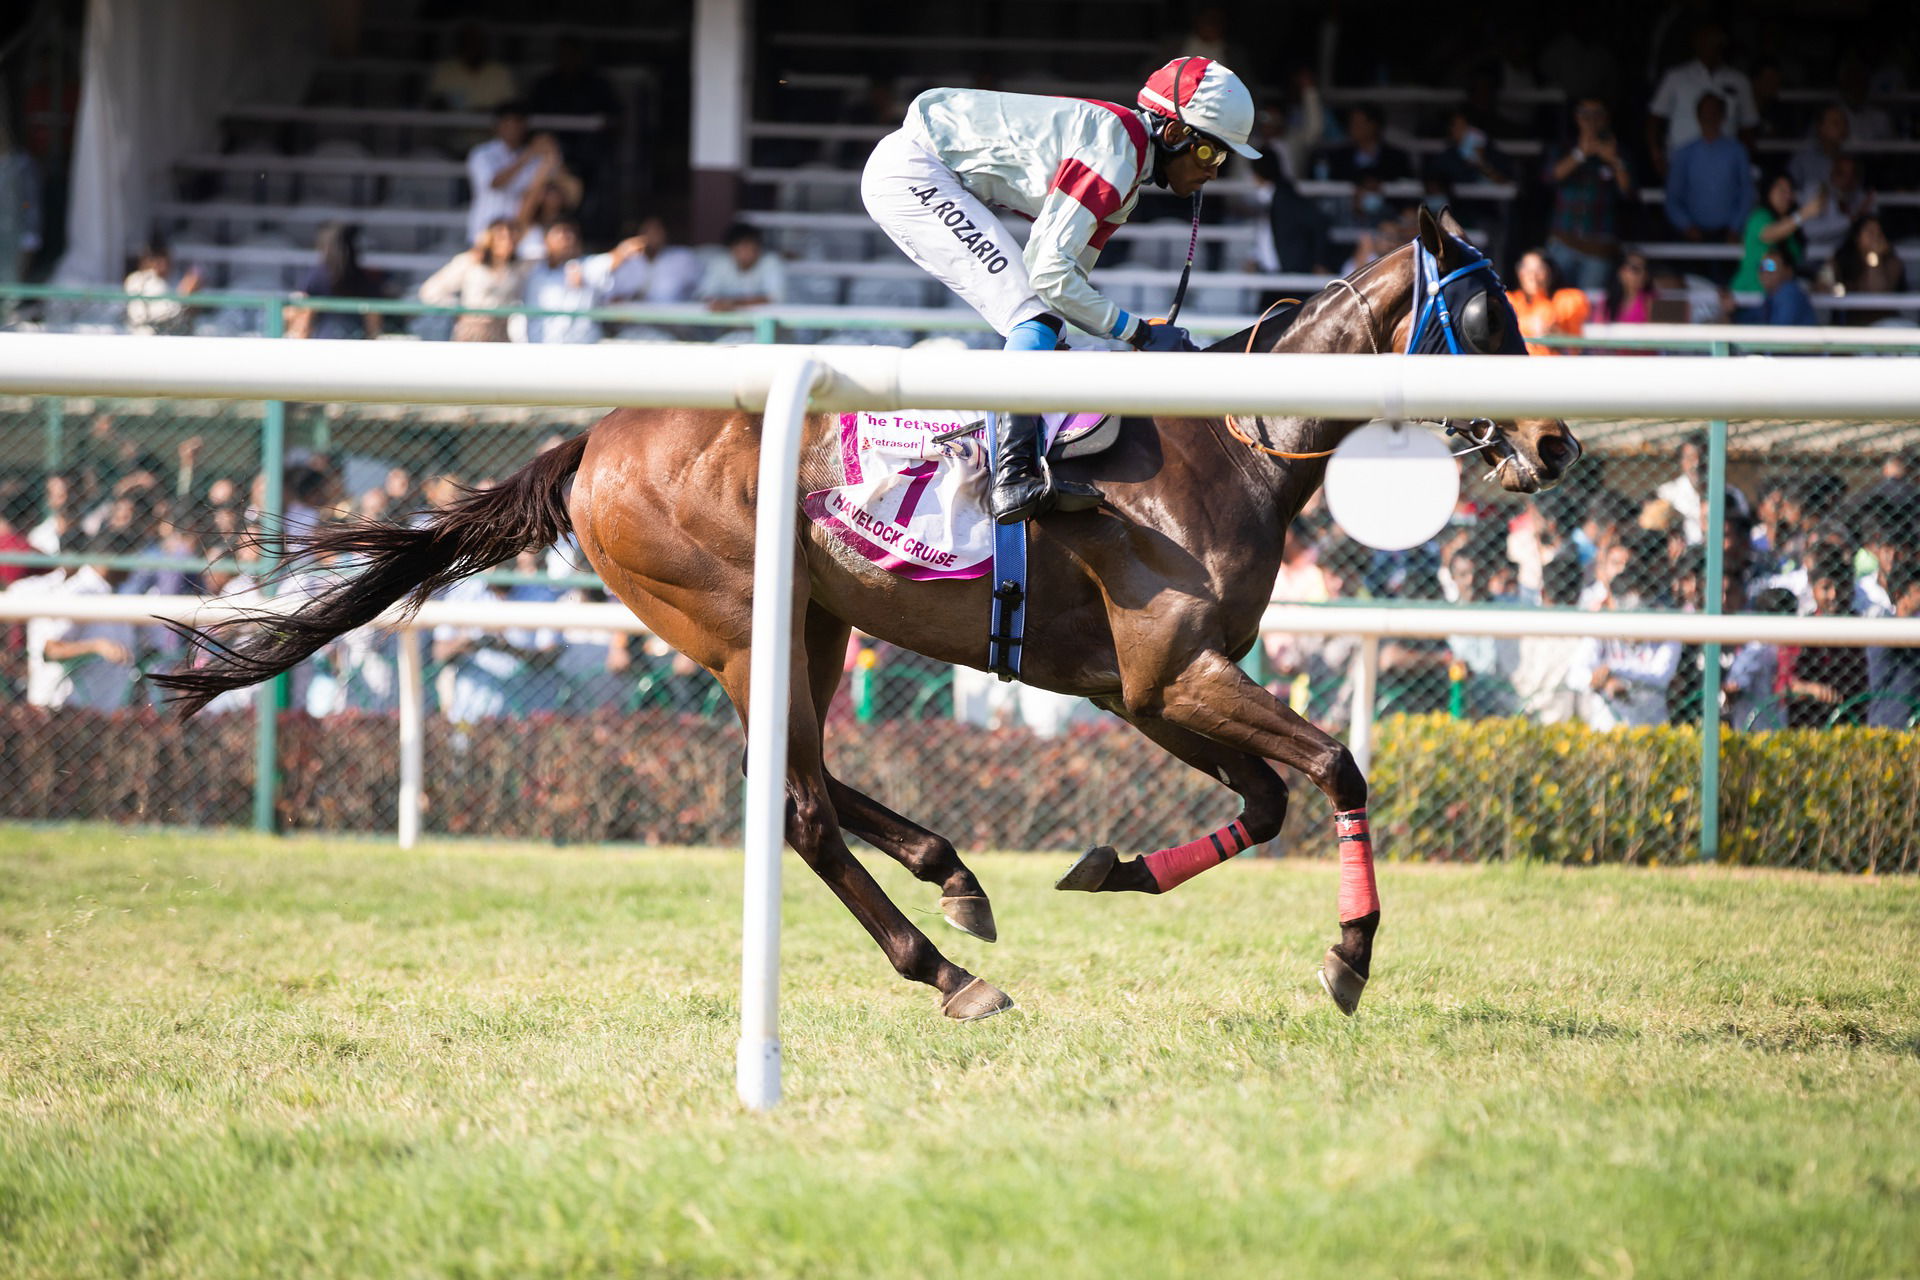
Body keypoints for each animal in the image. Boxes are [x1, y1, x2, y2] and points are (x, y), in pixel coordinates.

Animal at [154, 206, 1582, 1023]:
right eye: (1480, 313)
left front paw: (1112, 866)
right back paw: (949, 971)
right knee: (794, 806)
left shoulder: (1145, 687)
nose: (1559, 441)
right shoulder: (1168, 673)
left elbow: (1273, 794)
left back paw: (957, 879)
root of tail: (592, 437)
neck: (1224, 441)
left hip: (812, 620)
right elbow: (1334, 765)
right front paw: (1349, 955)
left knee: (803, 779)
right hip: (738, 618)